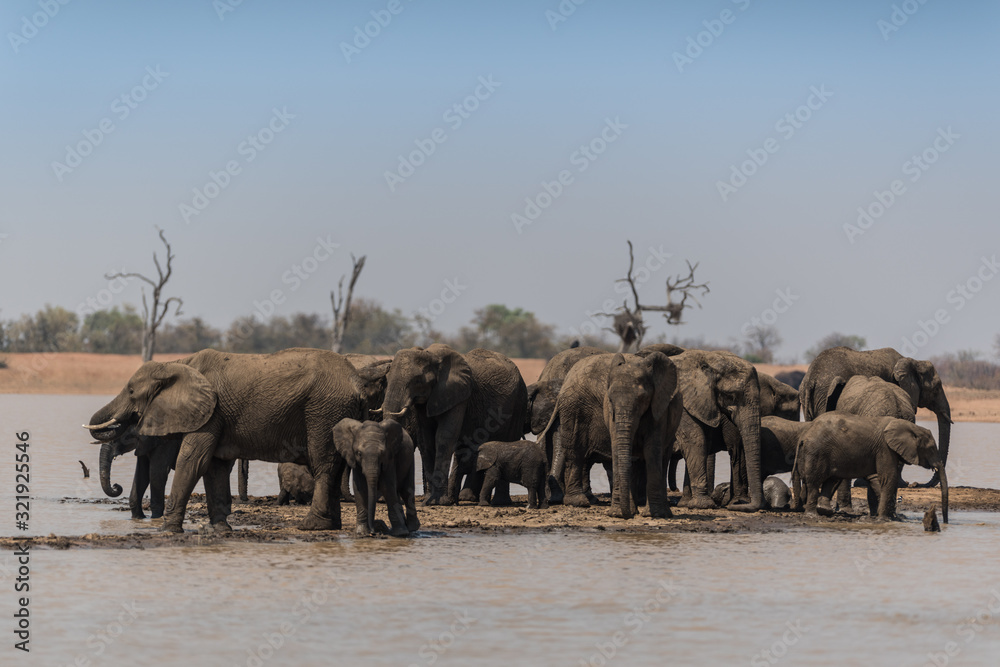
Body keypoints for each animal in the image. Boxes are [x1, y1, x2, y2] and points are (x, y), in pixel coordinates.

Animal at [85, 348, 366, 533]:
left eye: (131, 391)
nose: (117, 486)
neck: (177, 364)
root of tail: (357, 383)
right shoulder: (211, 415)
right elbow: (213, 466)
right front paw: (221, 529)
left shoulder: (210, 413)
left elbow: (192, 461)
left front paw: (166, 530)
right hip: (334, 411)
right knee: (335, 465)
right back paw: (332, 526)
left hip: (323, 411)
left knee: (323, 464)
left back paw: (312, 525)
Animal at [375, 344, 527, 506]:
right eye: (386, 379)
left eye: (417, 381)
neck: (430, 355)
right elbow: (426, 440)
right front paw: (429, 501)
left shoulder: (458, 396)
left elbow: (444, 437)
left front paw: (439, 501)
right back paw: (457, 500)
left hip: (519, 404)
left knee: (507, 444)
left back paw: (500, 502)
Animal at [545, 351, 683, 519]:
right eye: (609, 399)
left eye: (642, 398)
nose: (628, 516)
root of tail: (566, 380)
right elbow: (617, 448)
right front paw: (617, 513)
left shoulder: (659, 407)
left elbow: (652, 449)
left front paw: (654, 514)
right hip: (573, 408)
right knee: (575, 451)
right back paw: (579, 502)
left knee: (662, 456)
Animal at [792, 412, 948, 522]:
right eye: (931, 449)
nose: (946, 523)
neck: (911, 427)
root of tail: (804, 435)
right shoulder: (885, 448)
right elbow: (889, 477)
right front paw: (884, 520)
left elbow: (881, 480)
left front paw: (893, 518)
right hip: (816, 452)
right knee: (814, 482)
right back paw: (813, 516)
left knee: (832, 480)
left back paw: (825, 511)